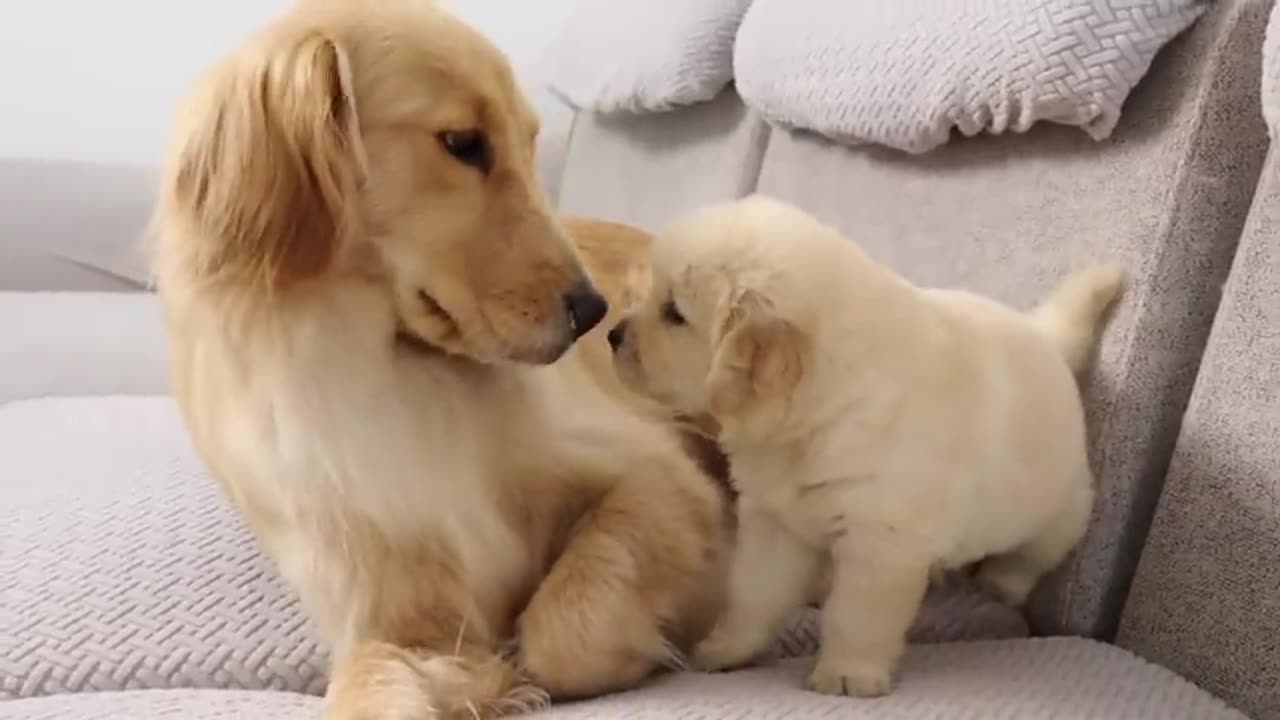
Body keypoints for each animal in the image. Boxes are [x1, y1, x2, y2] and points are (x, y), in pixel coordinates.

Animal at [147, 2, 732, 712]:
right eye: (462, 143)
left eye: (528, 143)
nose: (595, 313)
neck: (406, 373)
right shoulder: (395, 617)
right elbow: (371, 689)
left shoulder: (660, 477)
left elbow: (562, 633)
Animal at [609, 193, 1121, 691]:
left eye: (674, 314)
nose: (612, 334)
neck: (816, 413)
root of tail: (1047, 339)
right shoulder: (775, 522)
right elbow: (752, 596)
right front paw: (724, 651)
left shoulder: (879, 541)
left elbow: (856, 617)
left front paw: (847, 674)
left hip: (1057, 511)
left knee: (1030, 557)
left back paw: (1000, 583)